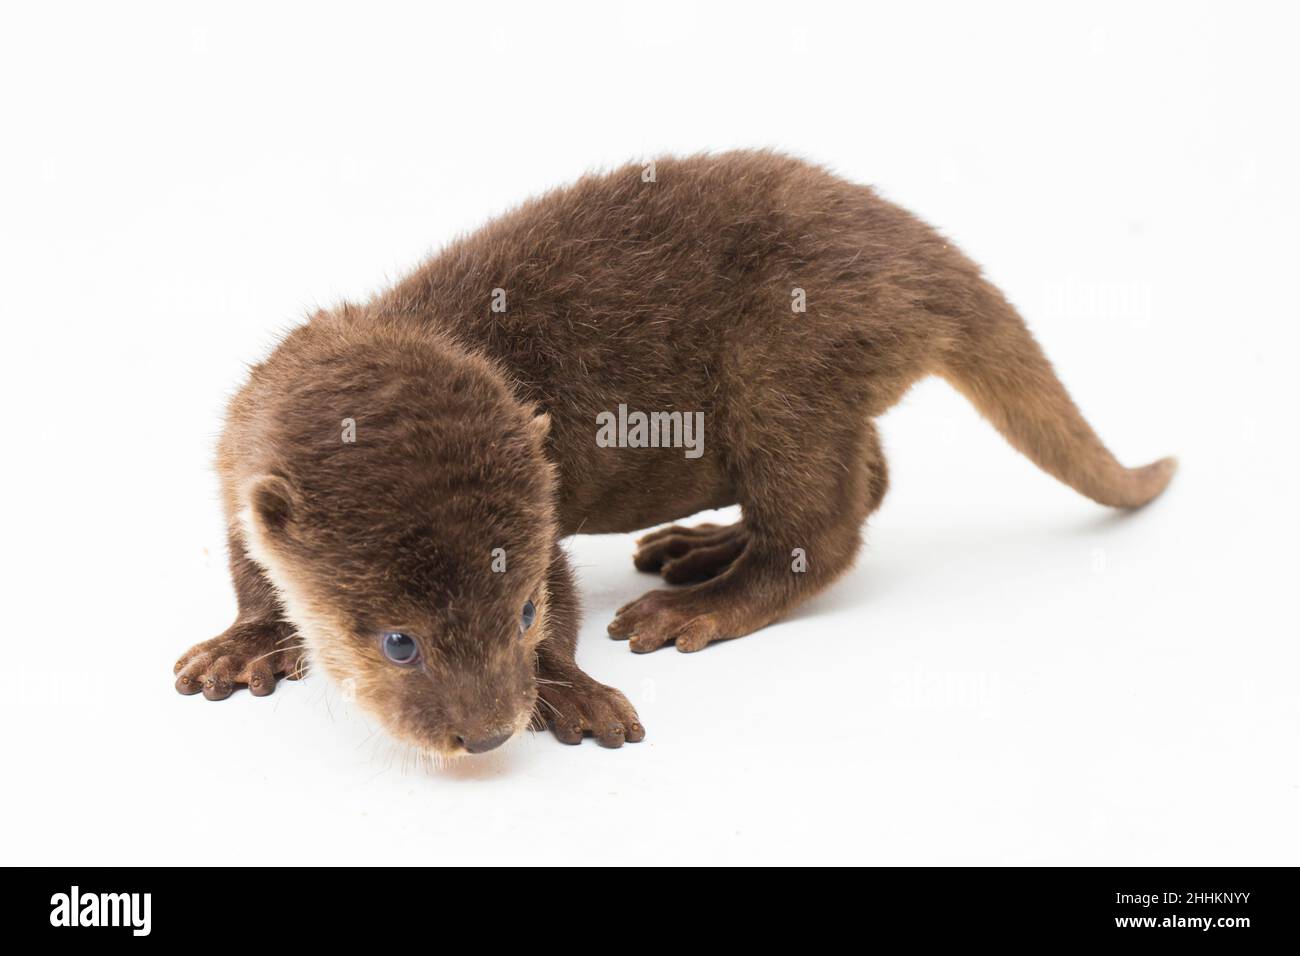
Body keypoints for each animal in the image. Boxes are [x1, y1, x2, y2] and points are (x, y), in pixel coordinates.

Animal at [172, 151, 1180, 764]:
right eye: (398, 641)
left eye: (522, 610)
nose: (489, 736)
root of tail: (917, 258)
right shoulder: (233, 461)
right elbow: (249, 569)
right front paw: (244, 643)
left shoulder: (540, 515)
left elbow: (570, 603)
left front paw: (573, 691)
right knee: (871, 481)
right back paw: (696, 546)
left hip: (786, 368)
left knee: (826, 529)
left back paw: (698, 602)